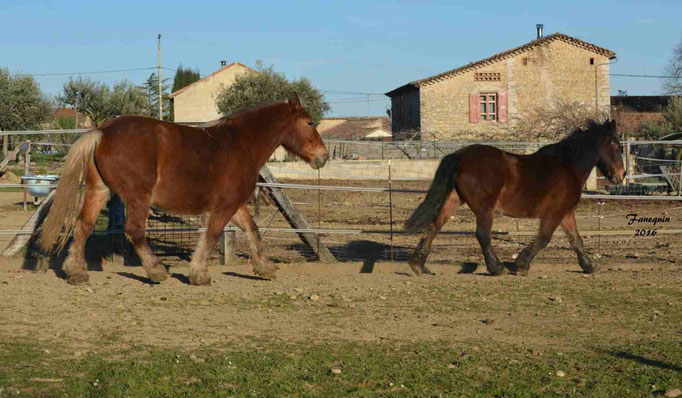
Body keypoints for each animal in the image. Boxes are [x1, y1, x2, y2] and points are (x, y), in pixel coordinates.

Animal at [38, 93, 328, 286]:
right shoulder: (224, 206)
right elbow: (212, 234)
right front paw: (199, 274)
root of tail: (102, 132)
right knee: (134, 231)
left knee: (82, 226)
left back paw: (77, 273)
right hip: (138, 196)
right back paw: (156, 271)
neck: (241, 144)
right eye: (310, 122)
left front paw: (265, 267)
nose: (323, 157)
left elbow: (252, 230)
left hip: (99, 191)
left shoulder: (234, 205)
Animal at [406, 121, 624, 276]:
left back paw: (417, 264)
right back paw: (496, 268)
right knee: (482, 235)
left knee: (434, 226)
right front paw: (521, 265)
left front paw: (589, 266)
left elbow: (576, 240)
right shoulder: (554, 213)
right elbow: (544, 238)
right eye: (617, 146)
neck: (568, 166)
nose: (621, 175)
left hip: (453, 200)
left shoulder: (566, 213)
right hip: (484, 208)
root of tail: (459, 155)